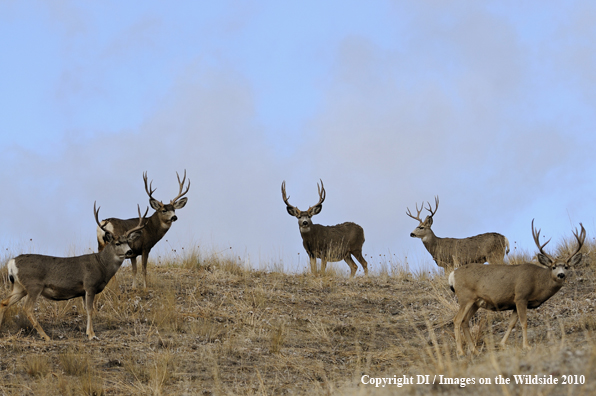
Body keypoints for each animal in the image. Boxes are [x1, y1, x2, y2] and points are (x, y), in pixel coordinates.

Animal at [0, 203, 147, 342]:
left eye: (128, 242)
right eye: (117, 243)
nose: (129, 251)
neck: (102, 265)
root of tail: (12, 262)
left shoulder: (82, 291)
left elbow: (87, 310)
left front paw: (88, 332)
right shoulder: (89, 285)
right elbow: (90, 310)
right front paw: (91, 335)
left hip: (19, 287)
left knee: (4, 302)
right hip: (33, 285)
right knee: (27, 308)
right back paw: (45, 336)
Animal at [450, 220, 584, 356]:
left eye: (566, 267)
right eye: (554, 267)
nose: (561, 275)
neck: (538, 281)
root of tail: (453, 274)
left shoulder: (514, 303)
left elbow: (511, 324)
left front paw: (502, 344)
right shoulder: (521, 297)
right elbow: (524, 323)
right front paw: (527, 346)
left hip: (475, 302)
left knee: (465, 321)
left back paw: (475, 350)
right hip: (465, 297)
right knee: (457, 320)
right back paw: (461, 352)